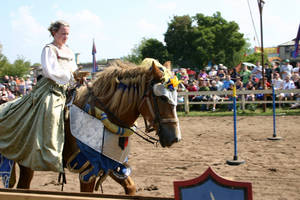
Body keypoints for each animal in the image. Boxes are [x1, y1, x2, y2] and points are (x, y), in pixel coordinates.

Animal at [9, 59, 182, 195]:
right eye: (162, 97)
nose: (175, 138)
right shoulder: (87, 171)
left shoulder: (111, 164)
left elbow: (130, 187)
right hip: (26, 163)